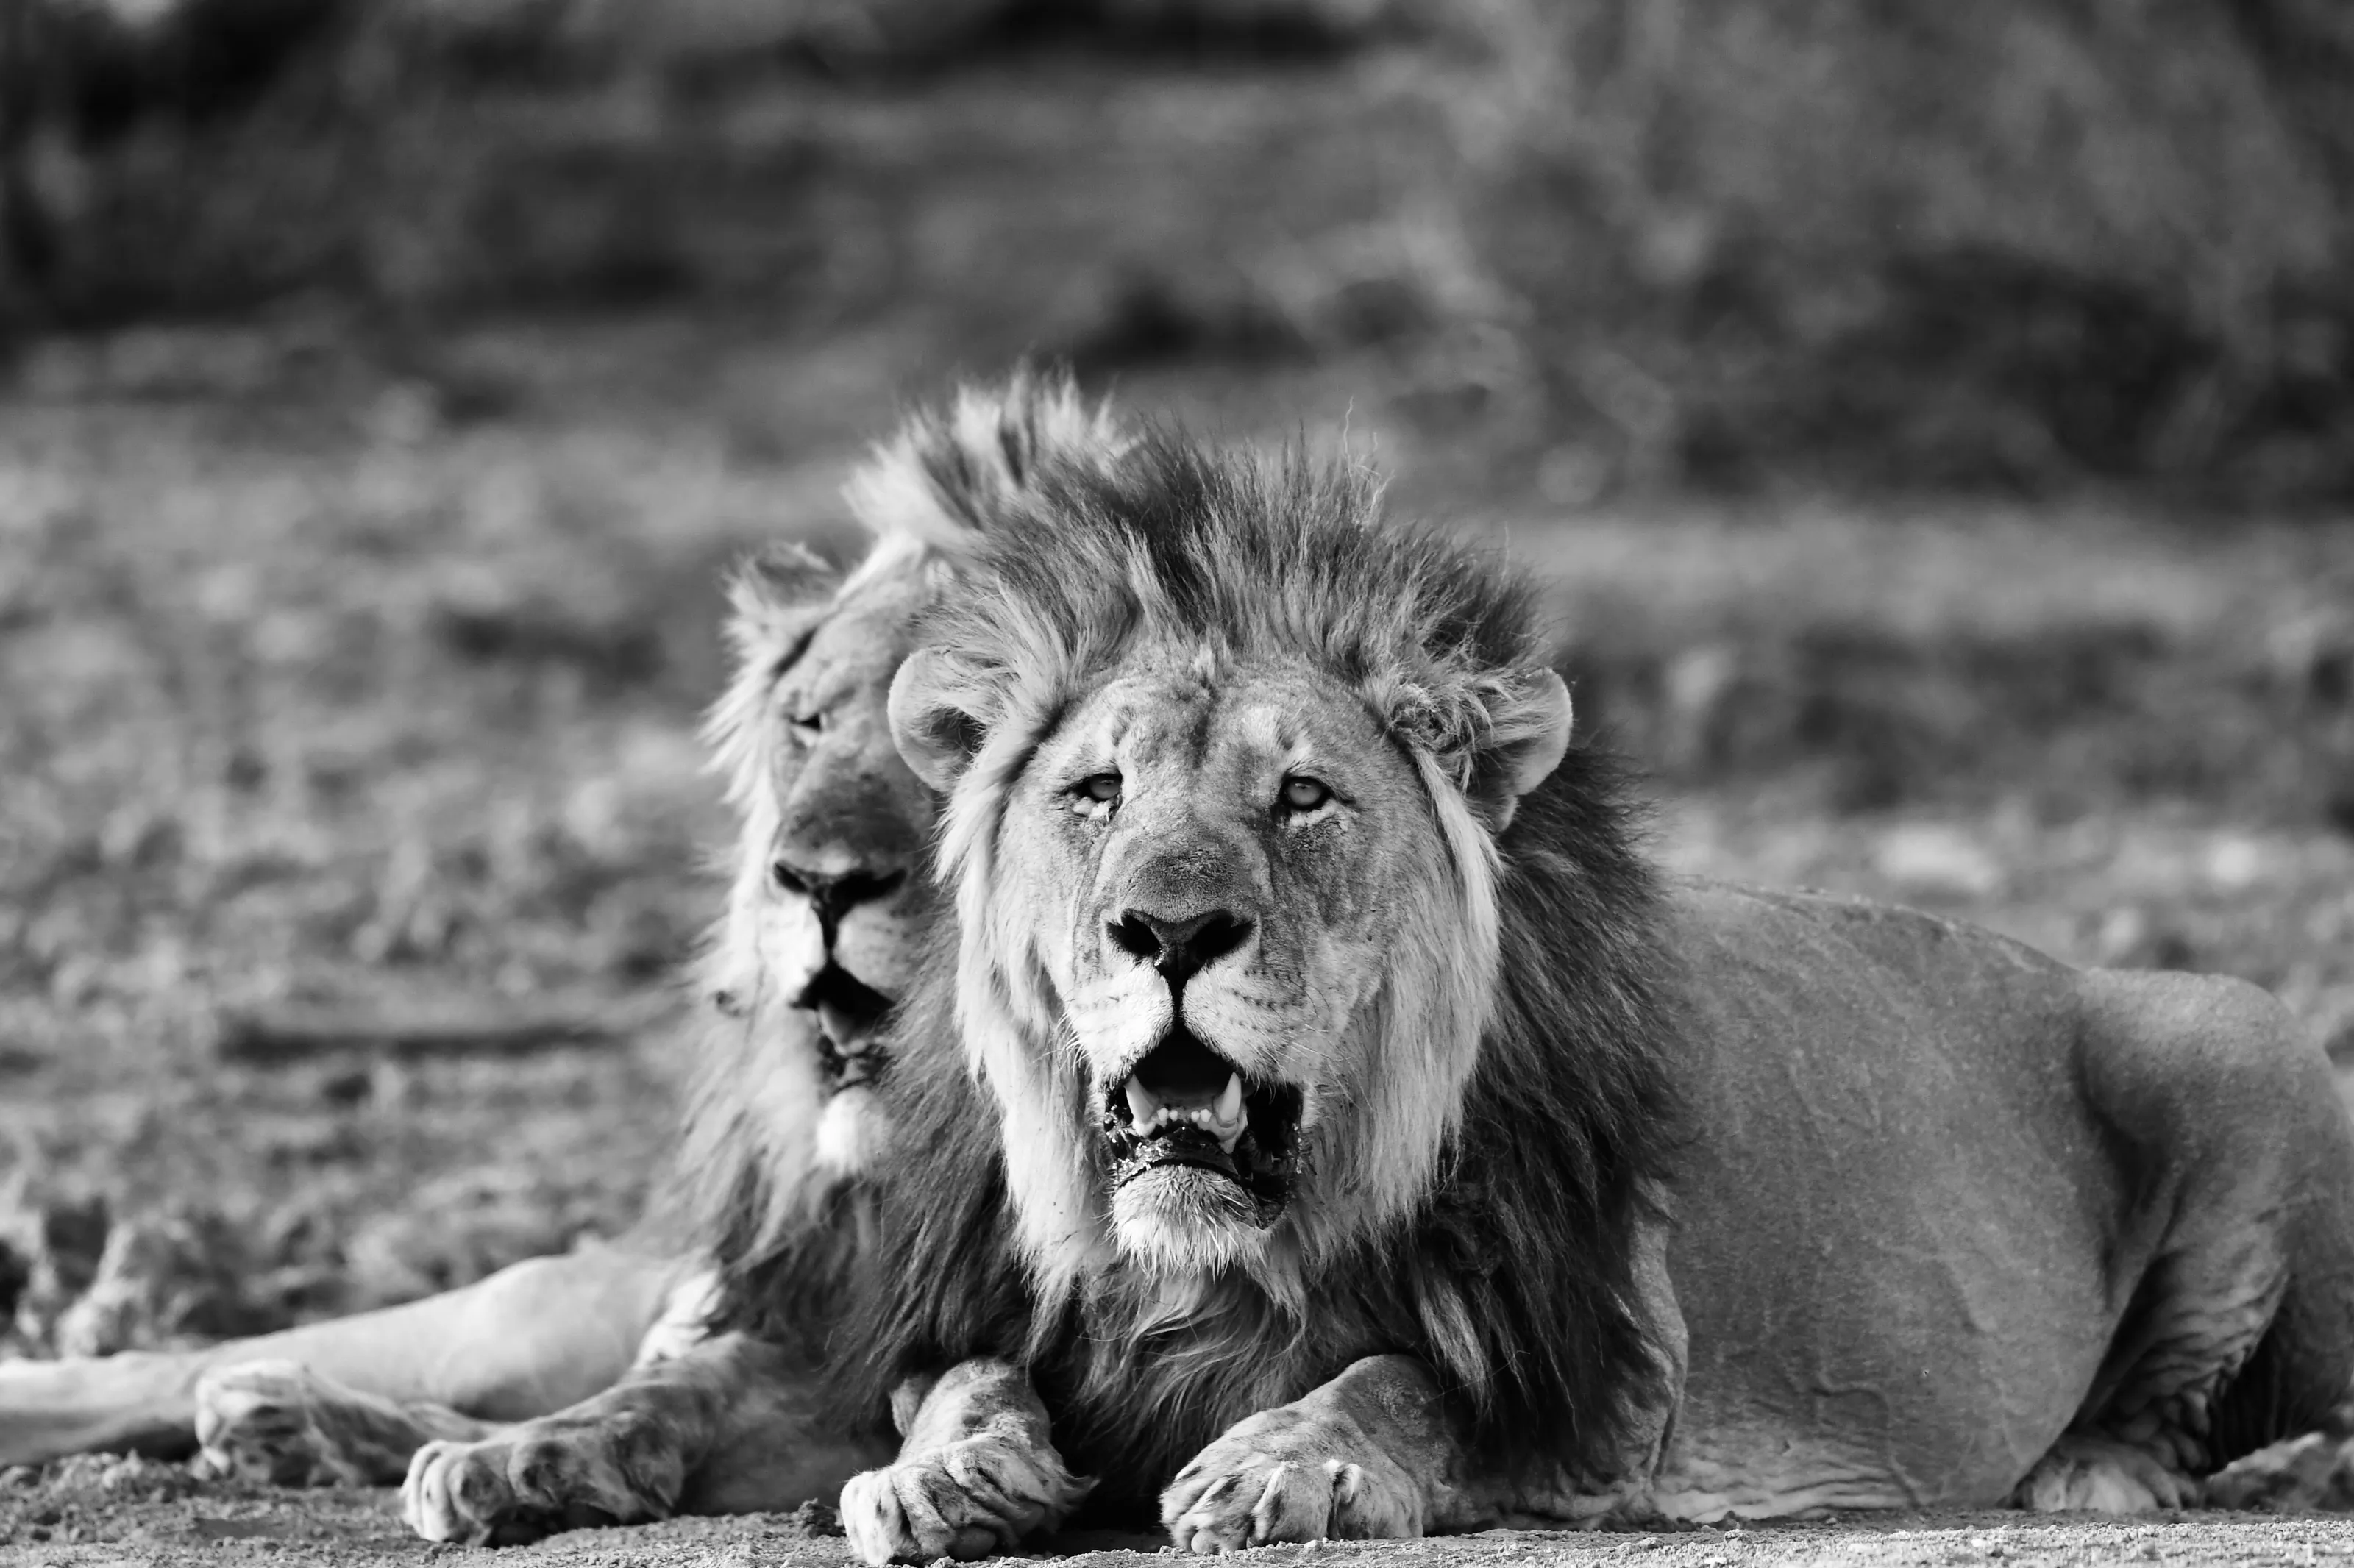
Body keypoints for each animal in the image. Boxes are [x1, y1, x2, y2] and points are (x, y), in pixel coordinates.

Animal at [0, 372, 1119, 1547]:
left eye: (961, 735)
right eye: (807, 722)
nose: (817, 881)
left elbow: (942, 1382)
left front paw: (952, 1474)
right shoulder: (809, 1314)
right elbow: (681, 1380)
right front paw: (535, 1456)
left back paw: (293, 1420)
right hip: (532, 1309)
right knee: (192, 1361)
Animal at [833, 426, 2354, 1558]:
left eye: (1303, 795)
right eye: (1098, 789)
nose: (1169, 927)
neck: (1217, 1257)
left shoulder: (1605, 1391)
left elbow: (1404, 1379)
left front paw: (1283, 1461)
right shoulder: (966, 1309)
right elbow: (960, 1378)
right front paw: (942, 1474)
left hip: (2239, 1033)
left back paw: (2095, 1466)